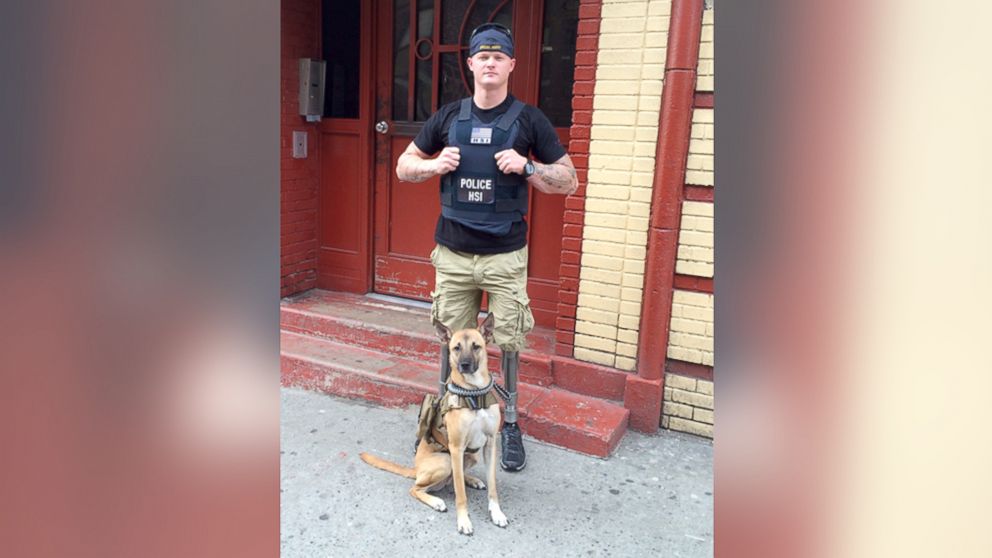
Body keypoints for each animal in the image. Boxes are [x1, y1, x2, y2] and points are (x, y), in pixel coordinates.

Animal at [360, 316, 508, 540]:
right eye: (456, 348)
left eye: (476, 346)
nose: (465, 365)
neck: (474, 392)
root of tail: (416, 469)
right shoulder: (456, 448)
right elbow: (460, 494)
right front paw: (463, 521)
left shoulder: (490, 444)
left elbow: (492, 486)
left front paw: (496, 513)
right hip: (444, 462)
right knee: (417, 488)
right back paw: (437, 501)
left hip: (471, 455)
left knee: (455, 476)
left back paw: (472, 480)